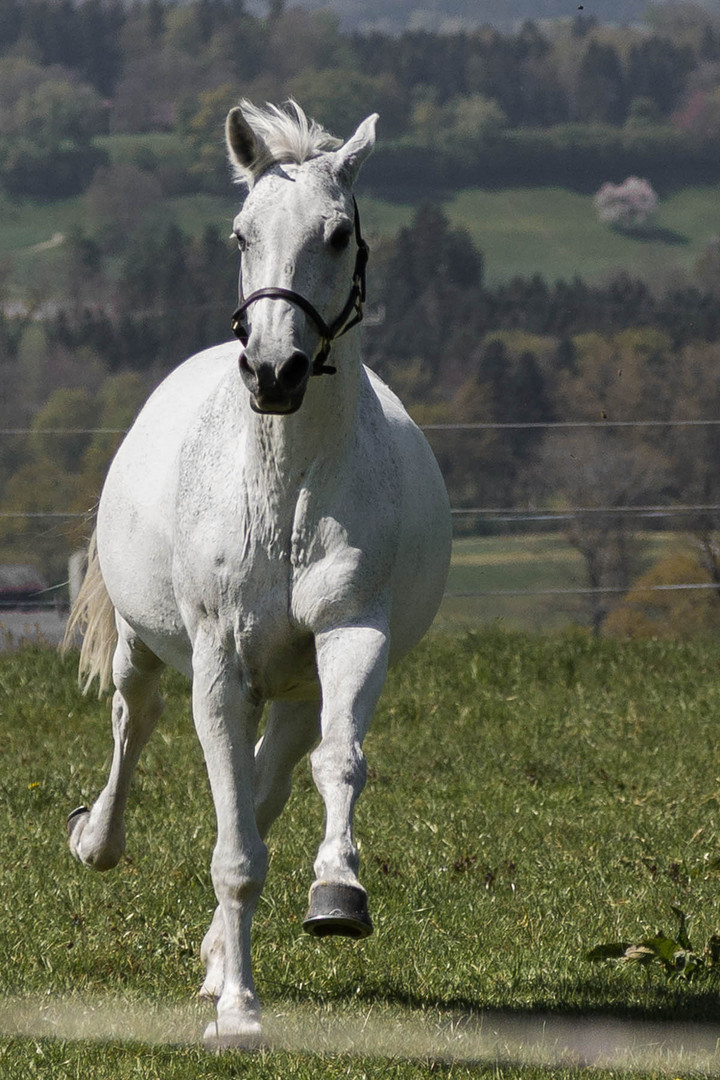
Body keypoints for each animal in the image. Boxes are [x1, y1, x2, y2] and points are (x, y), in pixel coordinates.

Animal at [67, 101, 451, 1045]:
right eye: (242, 234)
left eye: (339, 234)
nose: (274, 370)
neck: (283, 495)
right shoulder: (218, 663)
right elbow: (233, 849)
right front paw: (240, 1014)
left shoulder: (350, 637)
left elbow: (334, 766)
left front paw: (337, 895)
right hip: (147, 648)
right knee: (136, 720)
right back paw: (98, 841)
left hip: (294, 687)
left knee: (271, 778)